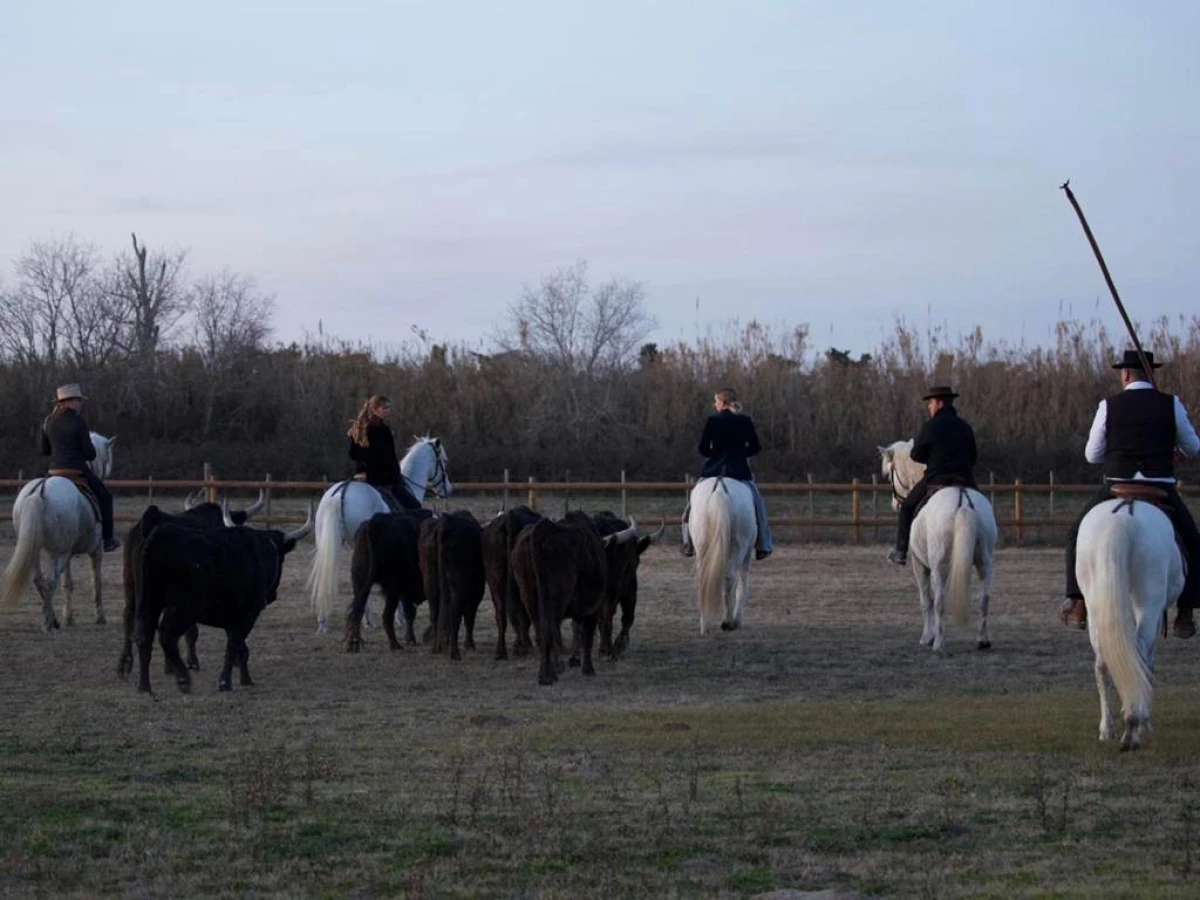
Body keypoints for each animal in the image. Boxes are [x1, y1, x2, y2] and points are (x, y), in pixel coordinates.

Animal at [1, 434, 115, 628]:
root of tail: (39, 491)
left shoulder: (67, 554)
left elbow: (67, 584)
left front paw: (68, 618)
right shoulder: (95, 550)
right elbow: (96, 582)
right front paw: (100, 617)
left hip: (36, 550)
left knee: (39, 581)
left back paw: (52, 618)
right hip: (59, 553)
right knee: (50, 581)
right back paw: (48, 623)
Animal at [691, 480, 753, 633]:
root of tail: (719, 488)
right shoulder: (747, 554)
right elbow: (743, 585)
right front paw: (737, 620)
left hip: (702, 547)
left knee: (704, 580)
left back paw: (705, 624)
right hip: (739, 547)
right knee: (730, 577)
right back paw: (728, 621)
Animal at [878, 441, 998, 652]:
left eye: (889, 472)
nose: (894, 504)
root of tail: (963, 501)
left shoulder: (920, 565)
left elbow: (926, 600)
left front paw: (927, 636)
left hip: (939, 565)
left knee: (939, 601)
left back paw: (938, 643)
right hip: (984, 562)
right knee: (984, 599)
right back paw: (983, 640)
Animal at [1080, 489, 1180, 748]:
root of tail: (1122, 519)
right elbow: (1148, 662)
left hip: (1094, 604)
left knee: (1102, 663)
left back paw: (1108, 729)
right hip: (1148, 603)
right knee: (1140, 653)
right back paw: (1136, 725)